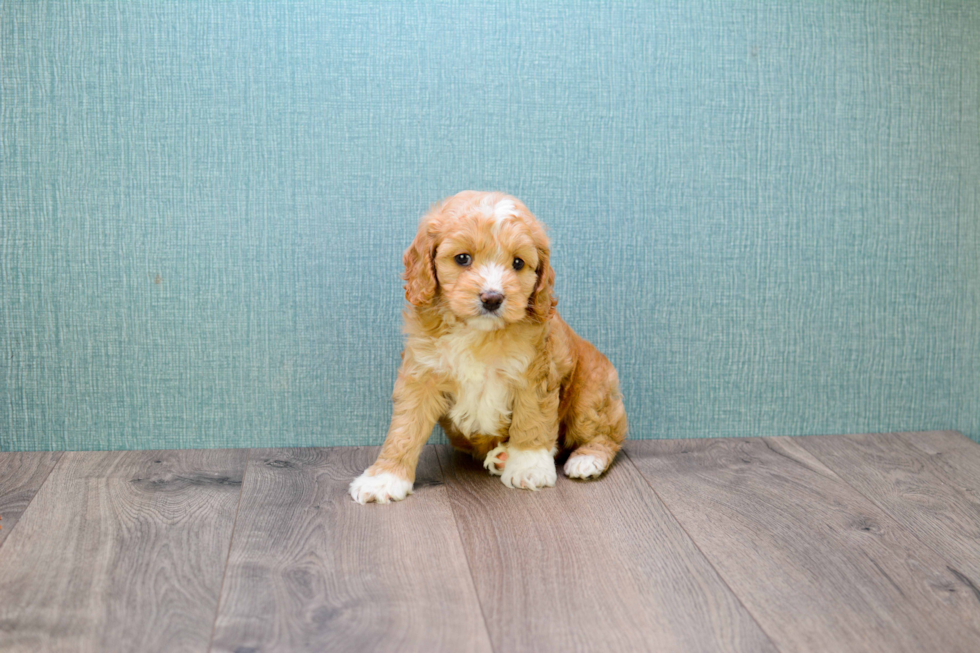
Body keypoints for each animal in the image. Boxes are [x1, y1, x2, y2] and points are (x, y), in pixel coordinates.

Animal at [352, 191, 628, 502]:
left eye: (518, 263)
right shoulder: (421, 373)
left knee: (607, 434)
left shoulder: (535, 374)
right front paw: (384, 478)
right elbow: (405, 428)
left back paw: (585, 459)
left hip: (590, 394)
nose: (492, 298)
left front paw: (529, 467)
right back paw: (503, 457)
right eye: (463, 258)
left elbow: (532, 421)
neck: (479, 334)